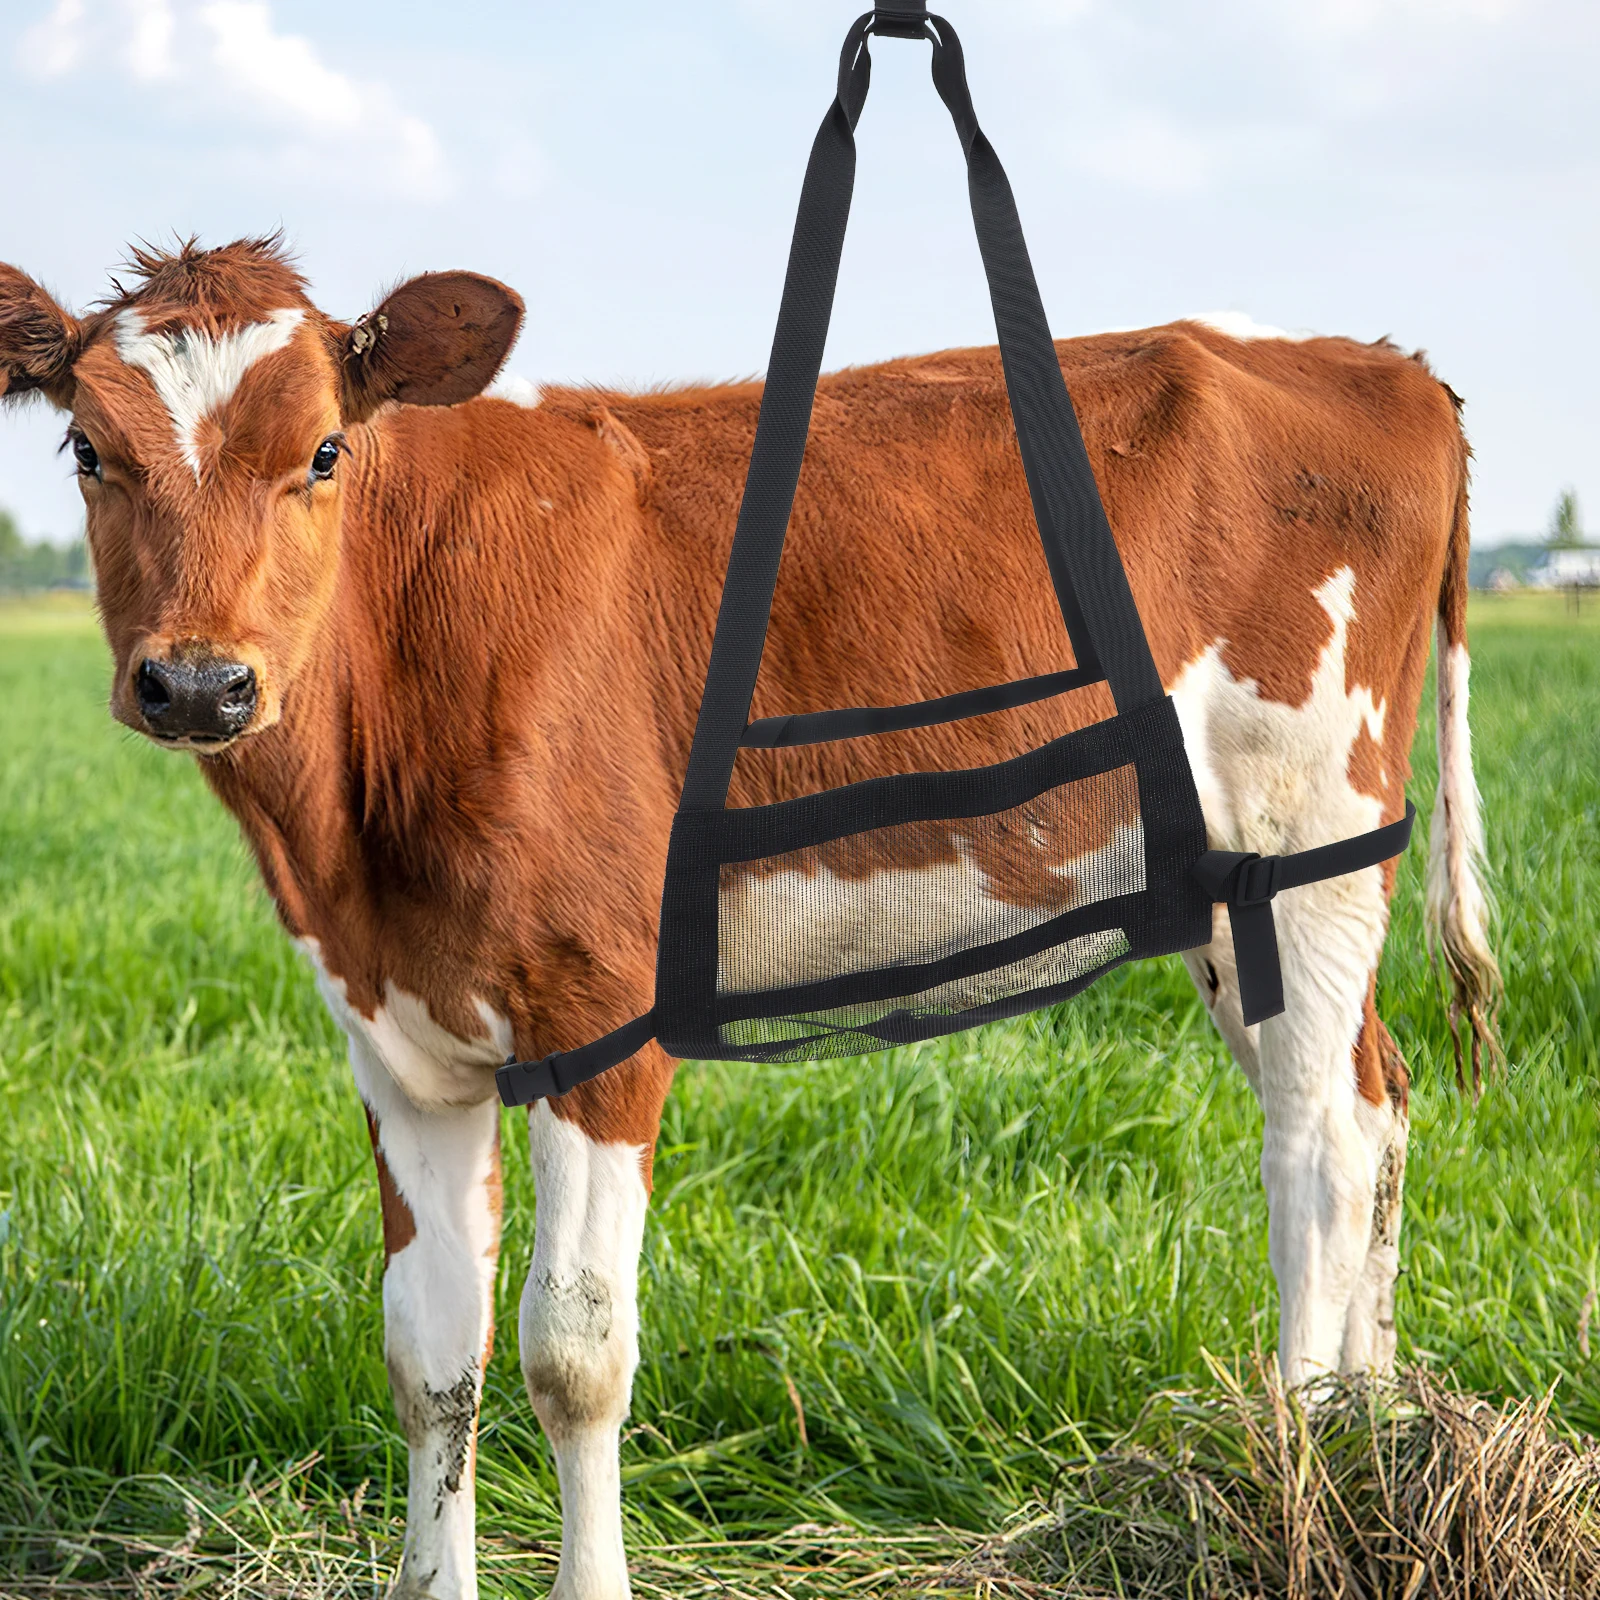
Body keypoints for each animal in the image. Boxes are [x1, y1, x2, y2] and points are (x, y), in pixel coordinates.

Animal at [0, 238, 1498, 1600]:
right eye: (85, 448)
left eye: (321, 452)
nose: (201, 683)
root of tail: (1383, 363)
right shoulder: (396, 1034)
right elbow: (430, 1355)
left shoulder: (599, 1008)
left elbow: (574, 1353)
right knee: (1377, 1099)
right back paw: (1378, 1443)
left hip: (1299, 841)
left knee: (1316, 1148)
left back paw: (1298, 1481)